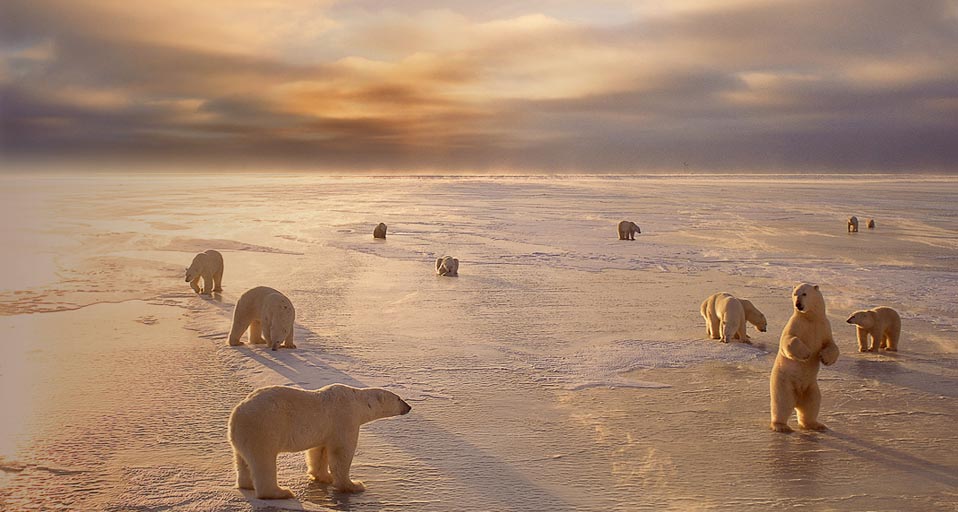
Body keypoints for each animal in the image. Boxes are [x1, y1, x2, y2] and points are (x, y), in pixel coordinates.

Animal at [231, 384, 414, 500]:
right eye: (399, 398)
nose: (409, 407)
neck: (358, 401)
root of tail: (237, 413)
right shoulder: (345, 418)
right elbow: (342, 453)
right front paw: (354, 485)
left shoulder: (326, 429)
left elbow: (319, 451)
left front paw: (323, 477)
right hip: (264, 429)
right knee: (264, 461)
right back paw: (281, 492)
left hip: (244, 436)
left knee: (243, 460)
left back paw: (246, 485)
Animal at [772, 284, 840, 432]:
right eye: (794, 294)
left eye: (804, 294)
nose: (798, 304)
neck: (810, 318)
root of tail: (797, 399)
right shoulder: (796, 324)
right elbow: (788, 340)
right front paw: (806, 354)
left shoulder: (824, 326)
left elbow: (831, 344)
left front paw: (825, 358)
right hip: (784, 382)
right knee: (782, 403)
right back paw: (781, 426)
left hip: (811, 387)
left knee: (812, 403)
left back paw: (815, 424)